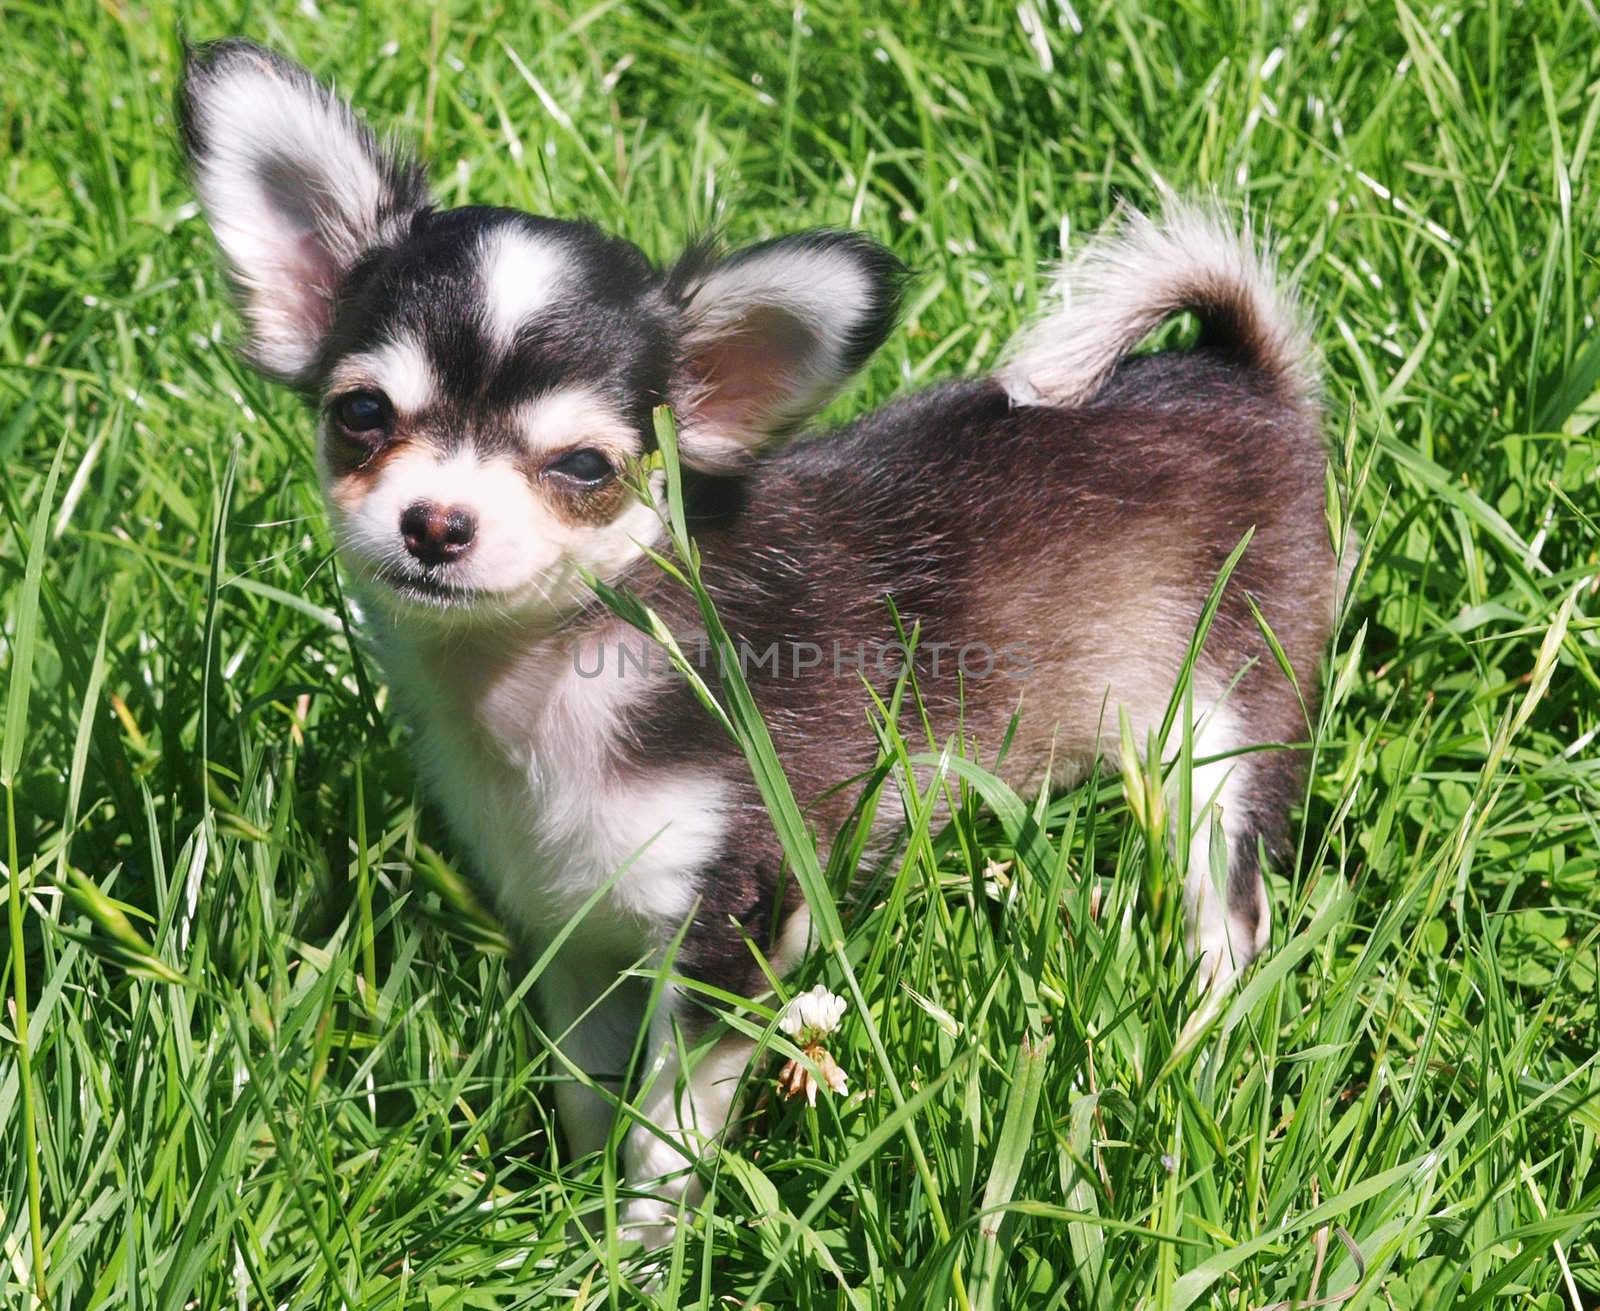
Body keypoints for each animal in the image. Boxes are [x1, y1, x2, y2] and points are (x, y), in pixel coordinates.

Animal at [181, 38, 1344, 1242]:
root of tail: (1231, 369)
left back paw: (1198, 1050)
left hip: (1217, 737)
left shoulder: (734, 925)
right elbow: (593, 1096)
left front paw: (643, 1252)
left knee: (1231, 910)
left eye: (584, 467)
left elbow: (666, 1137)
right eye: (361, 414)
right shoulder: (572, 928)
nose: (435, 523)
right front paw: (576, 1228)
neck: (546, 680)